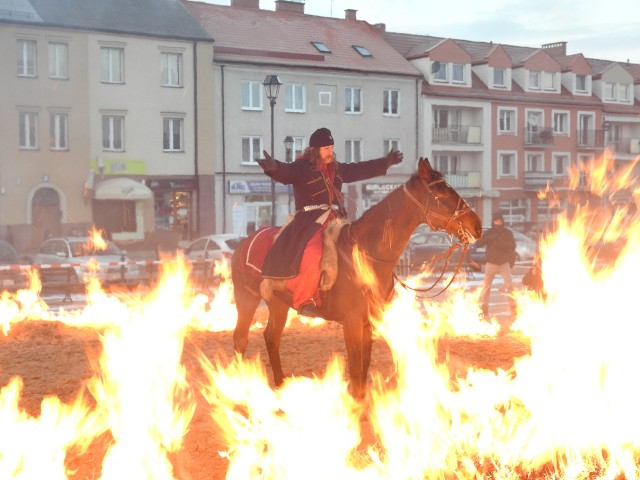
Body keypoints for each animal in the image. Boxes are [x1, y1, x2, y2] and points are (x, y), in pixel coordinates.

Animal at [230, 157, 480, 398]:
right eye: (441, 193)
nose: (477, 225)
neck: (367, 253)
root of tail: (243, 242)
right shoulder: (351, 322)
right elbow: (356, 367)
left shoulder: (369, 321)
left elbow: (364, 366)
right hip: (247, 299)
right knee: (240, 338)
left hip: (278, 303)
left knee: (271, 337)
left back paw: (280, 384)